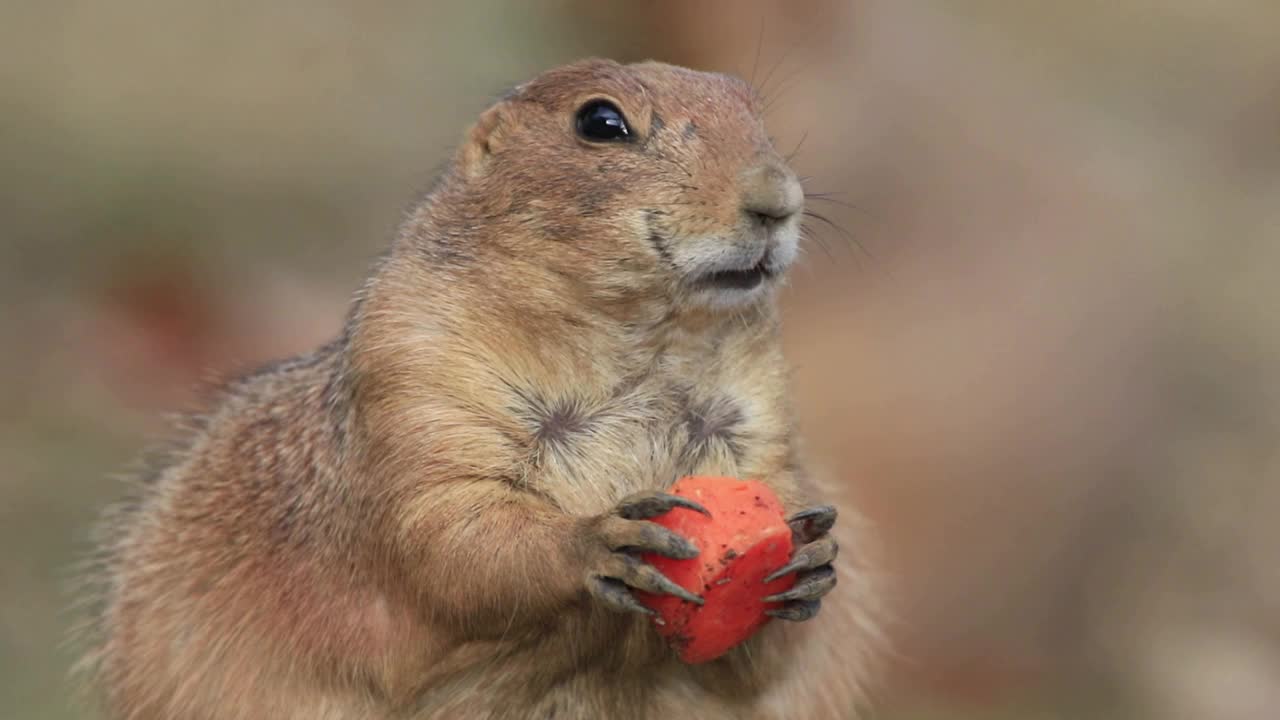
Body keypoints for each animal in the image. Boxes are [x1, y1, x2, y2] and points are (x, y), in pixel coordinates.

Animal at [80, 57, 875, 717]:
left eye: (753, 109)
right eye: (601, 122)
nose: (776, 200)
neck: (642, 336)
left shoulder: (760, 416)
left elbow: (758, 661)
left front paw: (809, 560)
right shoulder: (415, 371)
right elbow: (449, 527)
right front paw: (598, 540)